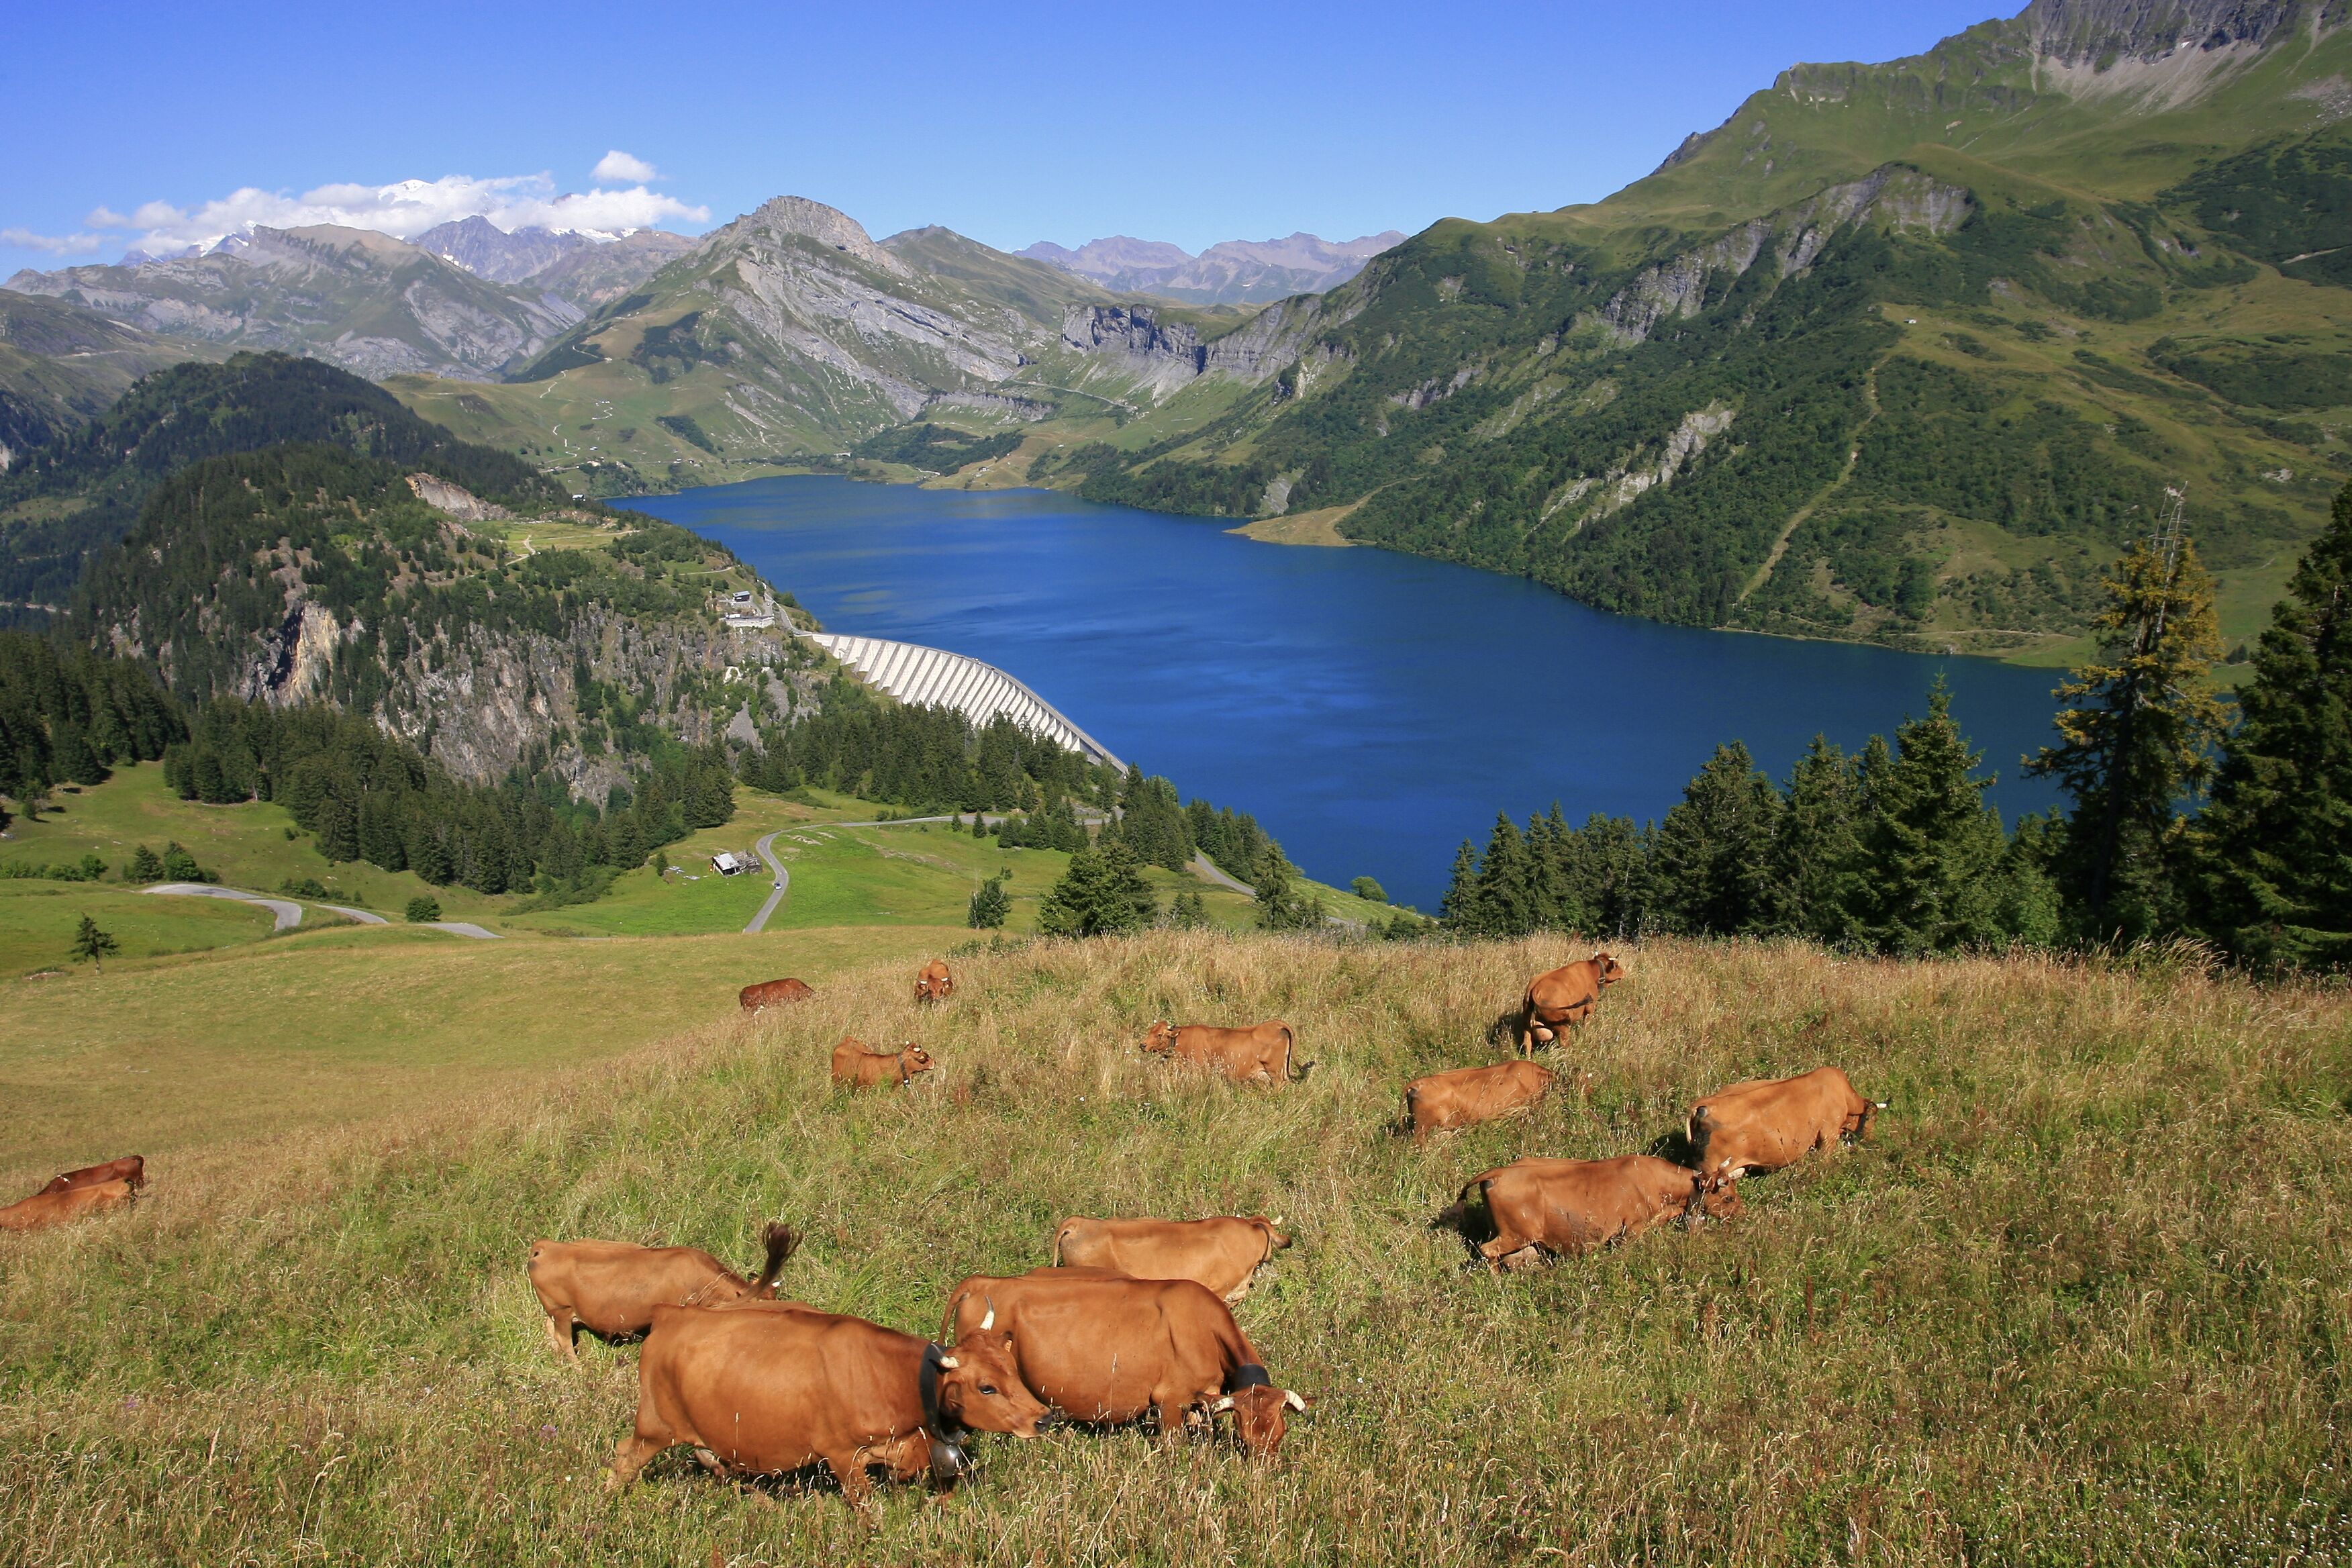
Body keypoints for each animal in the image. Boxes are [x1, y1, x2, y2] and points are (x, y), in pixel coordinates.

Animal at [607, 1305, 1051, 1508]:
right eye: (987, 1387)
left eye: (1013, 1368)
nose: (1044, 1417)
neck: (892, 1378)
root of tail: (672, 1314)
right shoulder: (844, 1455)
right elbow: (866, 1509)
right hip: (654, 1428)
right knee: (624, 1458)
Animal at [940, 1268, 1309, 1457]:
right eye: (1245, 1438)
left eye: (1279, 1435)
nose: (1259, 1472)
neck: (1203, 1327)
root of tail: (981, 1282)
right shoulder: (1169, 1400)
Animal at [1446, 1155, 1740, 1272]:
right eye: (1728, 1197)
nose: (1741, 1214)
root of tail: (1499, 1173)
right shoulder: (1632, 1228)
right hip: (1514, 1235)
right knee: (1488, 1251)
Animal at [1513, 953, 1627, 1054]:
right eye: (1616, 965)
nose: (1624, 973)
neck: (1593, 971)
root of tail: (1535, 989)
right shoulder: (1590, 1007)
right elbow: (1586, 1023)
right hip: (1562, 1025)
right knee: (1564, 1042)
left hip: (1527, 1022)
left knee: (1527, 1043)